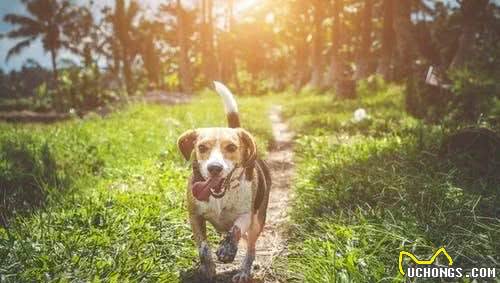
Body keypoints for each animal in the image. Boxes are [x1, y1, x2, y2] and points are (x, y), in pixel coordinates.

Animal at [177, 81, 272, 282]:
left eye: (231, 147)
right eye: (201, 147)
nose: (214, 168)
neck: (222, 195)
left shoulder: (247, 214)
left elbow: (235, 228)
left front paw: (227, 249)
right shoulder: (194, 216)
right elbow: (203, 247)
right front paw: (208, 268)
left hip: (258, 221)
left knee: (251, 249)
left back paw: (243, 271)